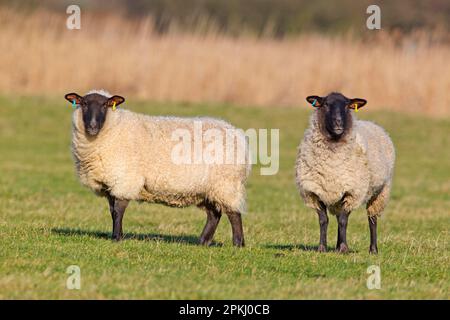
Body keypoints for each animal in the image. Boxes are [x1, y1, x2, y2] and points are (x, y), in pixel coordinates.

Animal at [65, 90, 251, 248]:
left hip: (226, 183)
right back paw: (203, 242)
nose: (93, 126)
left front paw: (117, 238)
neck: (112, 129)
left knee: (234, 213)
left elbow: (118, 210)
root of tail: (237, 134)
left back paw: (238, 244)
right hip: (207, 188)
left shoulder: (125, 179)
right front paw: (117, 235)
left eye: (105, 105)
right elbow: (112, 211)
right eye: (84, 104)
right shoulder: (111, 182)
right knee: (214, 214)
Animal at [296, 91, 394, 254]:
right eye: (326, 104)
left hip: (380, 191)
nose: (338, 123)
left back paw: (373, 249)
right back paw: (336, 246)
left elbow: (343, 221)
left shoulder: (352, 192)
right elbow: (323, 220)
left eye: (348, 105)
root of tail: (374, 124)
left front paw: (344, 248)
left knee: (372, 219)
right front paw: (322, 248)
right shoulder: (314, 192)